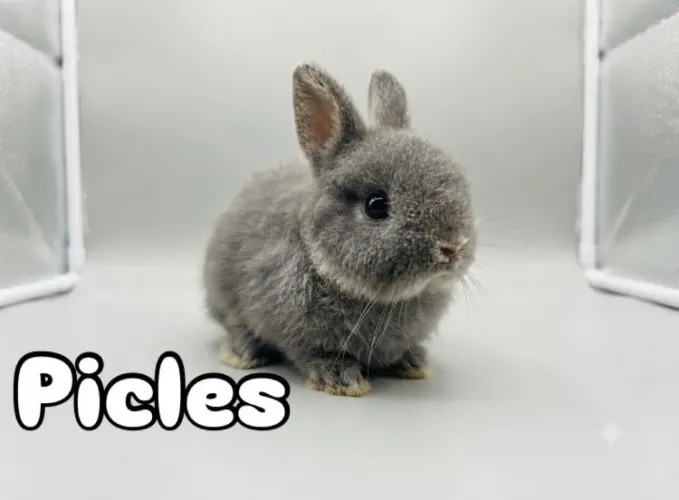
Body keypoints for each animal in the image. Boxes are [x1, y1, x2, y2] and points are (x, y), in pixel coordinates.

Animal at [202, 62, 477, 397]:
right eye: (376, 205)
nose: (452, 246)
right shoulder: (299, 331)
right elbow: (317, 353)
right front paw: (341, 381)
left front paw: (412, 363)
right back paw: (244, 354)